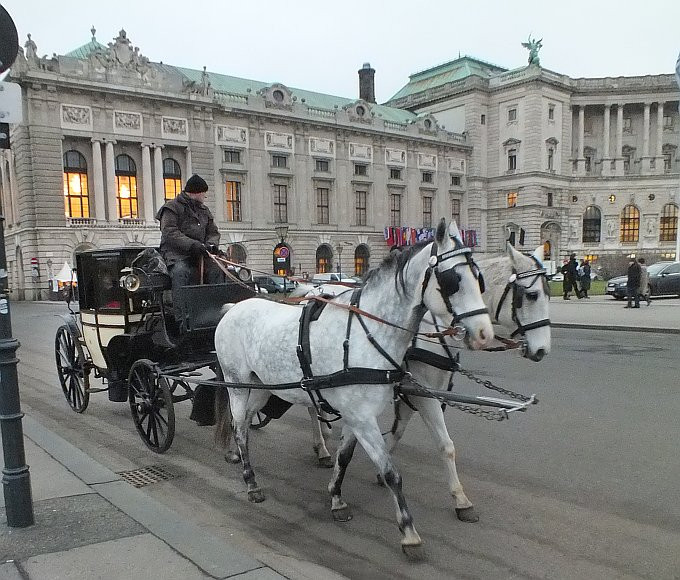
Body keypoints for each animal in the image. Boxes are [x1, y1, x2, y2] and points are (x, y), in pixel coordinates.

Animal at [215, 220, 492, 556]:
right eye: (453, 280)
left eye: (479, 278)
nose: (484, 333)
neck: (368, 334)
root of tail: (233, 308)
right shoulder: (362, 417)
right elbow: (391, 472)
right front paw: (408, 531)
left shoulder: (356, 415)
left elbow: (345, 458)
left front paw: (336, 498)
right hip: (237, 384)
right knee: (241, 428)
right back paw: (250, 481)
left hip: (260, 387)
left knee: (240, 421)